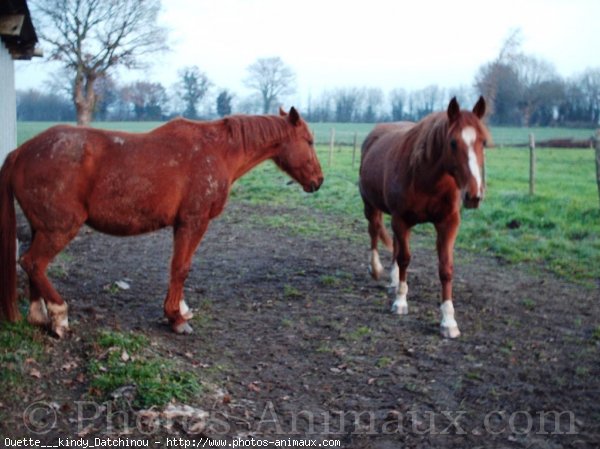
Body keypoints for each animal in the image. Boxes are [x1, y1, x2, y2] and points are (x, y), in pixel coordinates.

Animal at [0, 106, 324, 336]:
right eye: (309, 141)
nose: (319, 181)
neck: (217, 151)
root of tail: (21, 152)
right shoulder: (194, 221)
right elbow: (181, 268)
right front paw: (176, 318)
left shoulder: (182, 225)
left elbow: (178, 268)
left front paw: (180, 308)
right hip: (60, 228)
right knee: (33, 262)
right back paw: (59, 315)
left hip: (41, 227)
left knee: (33, 267)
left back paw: (39, 316)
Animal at [358, 97, 490, 336]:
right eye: (453, 143)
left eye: (483, 142)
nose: (473, 195)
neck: (427, 179)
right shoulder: (401, 219)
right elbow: (405, 258)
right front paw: (400, 302)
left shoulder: (448, 223)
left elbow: (445, 268)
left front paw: (448, 321)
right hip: (370, 205)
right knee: (374, 231)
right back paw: (376, 269)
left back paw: (392, 280)